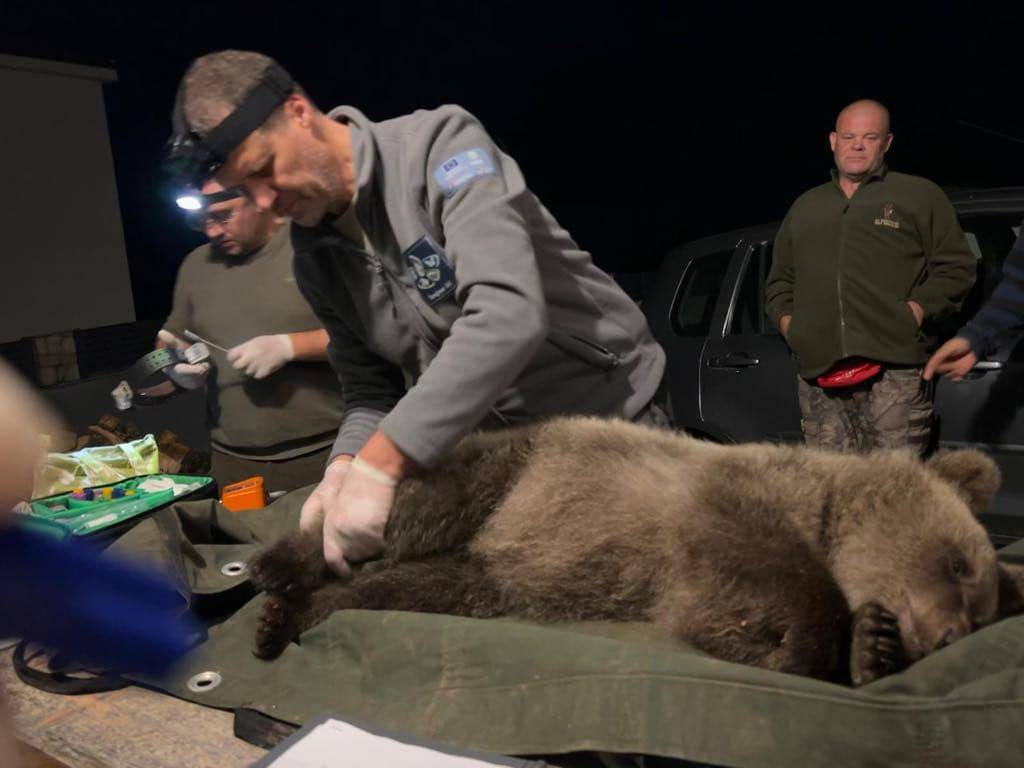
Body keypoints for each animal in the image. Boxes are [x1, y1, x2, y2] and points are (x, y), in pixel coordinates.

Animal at [249, 417, 1024, 688]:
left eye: (984, 612)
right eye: (958, 564)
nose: (949, 633)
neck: (819, 508)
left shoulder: (670, 575)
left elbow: (713, 615)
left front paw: (871, 647)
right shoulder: (723, 505)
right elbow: (775, 585)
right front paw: (815, 644)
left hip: (489, 580)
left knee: (399, 587)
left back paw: (287, 614)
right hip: (508, 470)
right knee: (412, 517)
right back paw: (278, 569)